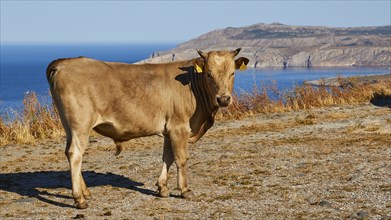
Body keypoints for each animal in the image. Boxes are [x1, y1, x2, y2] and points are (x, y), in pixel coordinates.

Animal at [45, 47, 248, 208]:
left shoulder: (169, 129)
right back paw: (79, 199)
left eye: (232, 73)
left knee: (70, 153)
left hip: (69, 125)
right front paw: (184, 190)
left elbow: (167, 157)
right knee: (75, 154)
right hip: (80, 124)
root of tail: (63, 63)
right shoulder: (179, 128)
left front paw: (163, 188)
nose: (223, 99)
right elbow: (181, 159)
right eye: (208, 74)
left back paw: (85, 192)